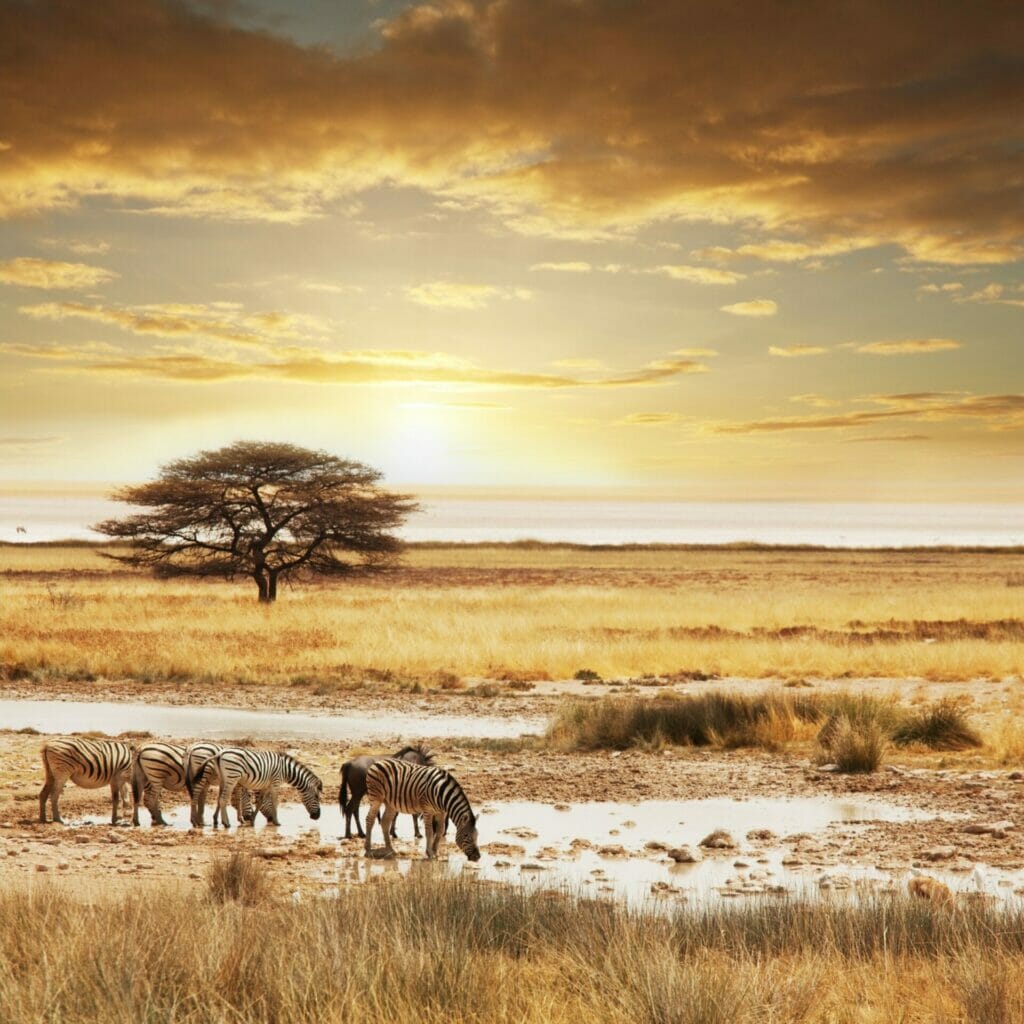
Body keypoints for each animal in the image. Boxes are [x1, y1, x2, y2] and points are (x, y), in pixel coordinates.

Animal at [133, 741, 272, 827]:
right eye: (251, 797)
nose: (271, 819)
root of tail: (141, 748)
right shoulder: (232, 780)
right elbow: (236, 798)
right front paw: (239, 819)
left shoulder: (220, 781)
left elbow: (214, 800)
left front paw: (211, 820)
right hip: (157, 776)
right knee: (150, 799)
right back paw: (161, 821)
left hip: (144, 777)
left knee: (140, 798)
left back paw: (141, 820)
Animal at [188, 749, 321, 827]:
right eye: (317, 797)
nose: (317, 816)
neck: (286, 770)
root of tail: (220, 754)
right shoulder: (275, 782)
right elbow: (275, 802)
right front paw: (277, 822)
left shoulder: (266, 785)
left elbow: (260, 802)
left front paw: (252, 820)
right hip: (232, 777)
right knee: (222, 799)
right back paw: (226, 823)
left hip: (224, 778)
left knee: (219, 798)